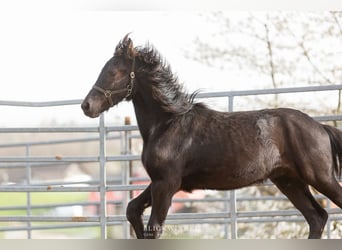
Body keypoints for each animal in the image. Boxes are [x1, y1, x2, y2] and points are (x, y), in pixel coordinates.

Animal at [82, 34, 342, 238]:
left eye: (115, 71)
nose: (87, 106)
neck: (166, 125)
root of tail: (320, 127)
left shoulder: (167, 184)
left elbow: (153, 228)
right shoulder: (159, 181)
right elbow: (132, 209)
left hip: (320, 177)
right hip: (289, 181)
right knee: (317, 218)